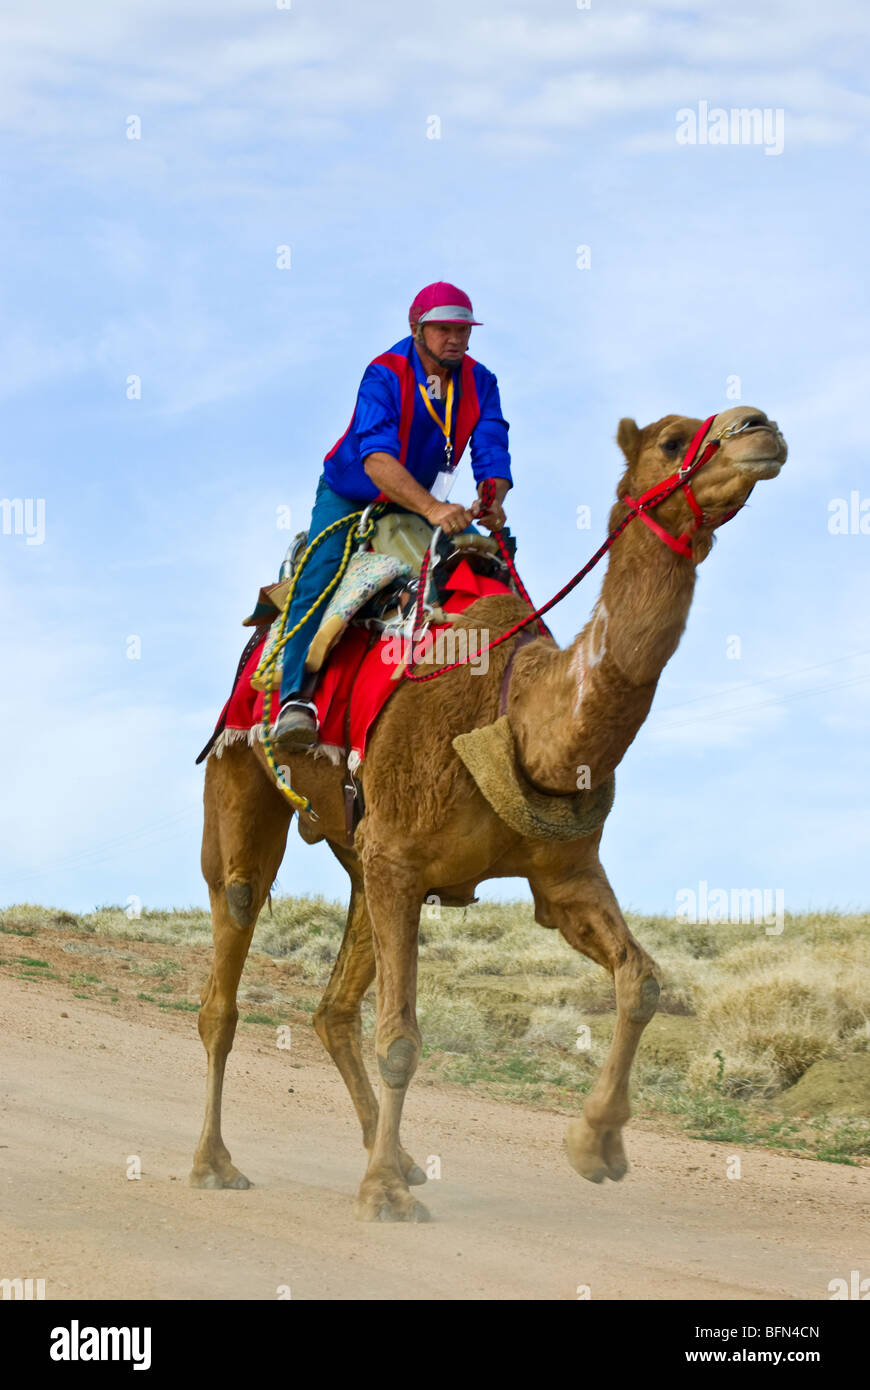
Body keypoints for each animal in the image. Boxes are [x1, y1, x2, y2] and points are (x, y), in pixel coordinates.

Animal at [191, 405, 787, 1221]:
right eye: (672, 440)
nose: (763, 428)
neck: (521, 712)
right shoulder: (401, 856)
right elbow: (401, 1039)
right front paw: (382, 1196)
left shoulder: (559, 874)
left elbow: (641, 979)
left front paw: (596, 1144)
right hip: (242, 773)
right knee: (229, 955)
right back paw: (217, 1163)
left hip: (362, 855)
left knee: (333, 1008)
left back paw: (402, 1157)